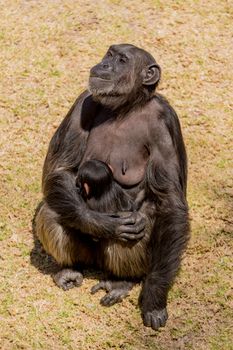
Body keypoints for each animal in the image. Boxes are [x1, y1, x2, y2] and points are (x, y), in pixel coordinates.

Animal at [35, 43, 190, 330]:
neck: (126, 107)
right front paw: (105, 224)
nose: (105, 64)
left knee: (144, 220)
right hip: (85, 253)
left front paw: (154, 297)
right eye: (109, 54)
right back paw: (68, 270)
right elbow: (60, 169)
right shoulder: (82, 103)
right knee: (53, 208)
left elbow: (170, 201)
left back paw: (120, 282)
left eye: (122, 60)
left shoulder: (165, 123)